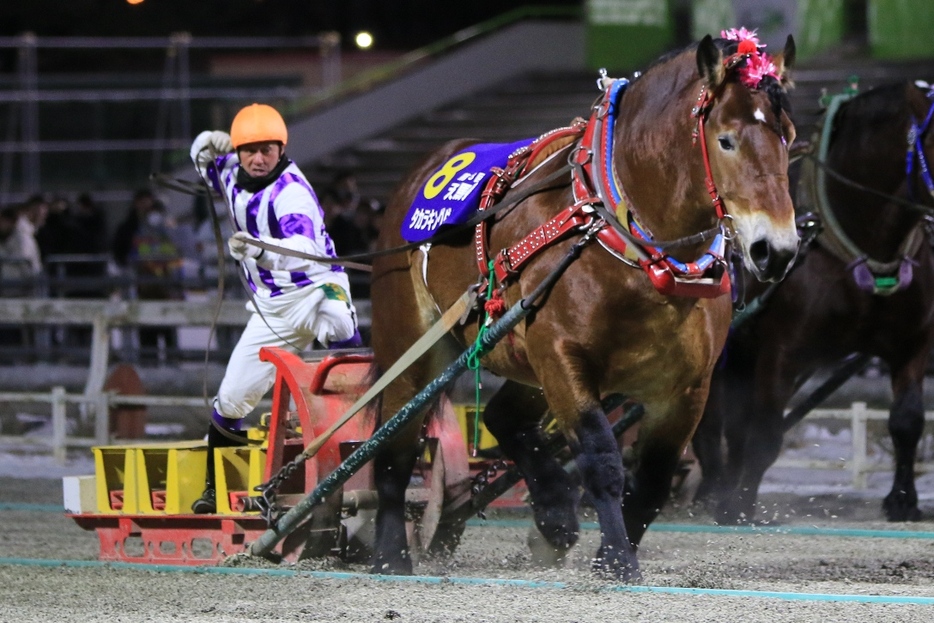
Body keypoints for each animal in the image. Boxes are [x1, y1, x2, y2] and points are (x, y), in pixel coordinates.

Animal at [370, 34, 800, 584]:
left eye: (787, 136)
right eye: (726, 140)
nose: (777, 249)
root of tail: (424, 170)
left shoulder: (687, 385)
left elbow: (654, 479)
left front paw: (606, 544)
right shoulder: (561, 354)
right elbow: (601, 458)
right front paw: (616, 557)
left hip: (525, 360)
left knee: (506, 417)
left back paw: (554, 512)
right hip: (415, 349)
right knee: (394, 444)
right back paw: (389, 553)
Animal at [696, 79, 934, 528]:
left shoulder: (912, 343)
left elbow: (907, 420)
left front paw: (903, 500)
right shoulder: (783, 351)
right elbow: (766, 433)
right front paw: (740, 504)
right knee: (710, 421)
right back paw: (713, 490)